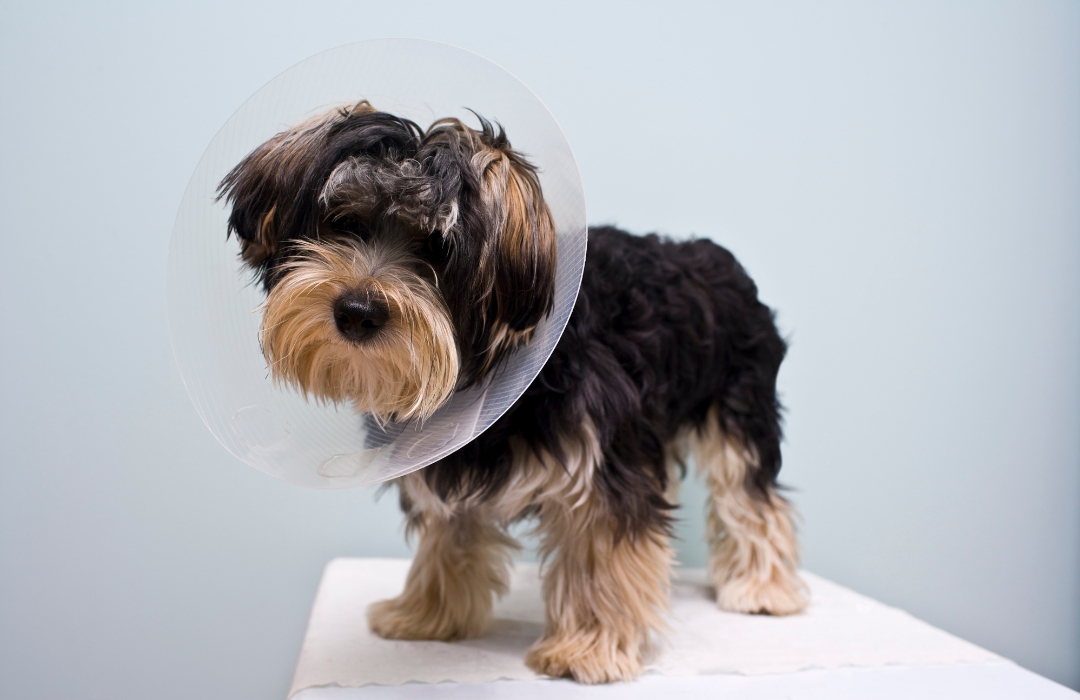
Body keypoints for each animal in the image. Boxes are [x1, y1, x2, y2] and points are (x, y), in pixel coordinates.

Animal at [221, 101, 812, 682]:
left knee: (750, 493)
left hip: (739, 405)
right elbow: (449, 533)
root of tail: (723, 261)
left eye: (437, 249)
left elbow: (601, 547)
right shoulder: (453, 453)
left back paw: (763, 589)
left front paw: (585, 647)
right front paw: (427, 614)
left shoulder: (600, 462)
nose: (356, 311)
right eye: (342, 222)